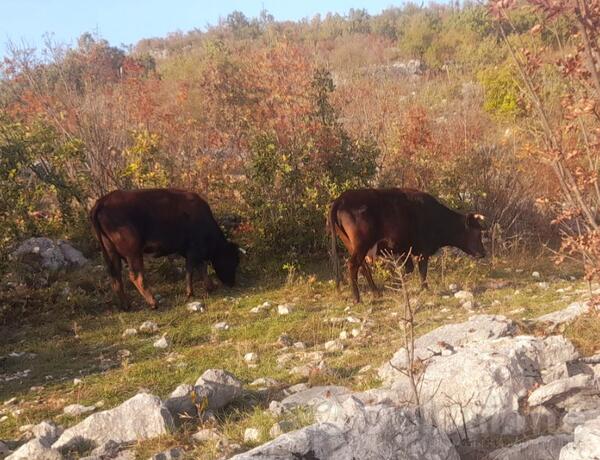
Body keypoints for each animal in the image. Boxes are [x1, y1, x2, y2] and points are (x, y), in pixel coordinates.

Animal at [90, 189, 240, 310]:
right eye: (231, 260)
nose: (232, 283)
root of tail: (102, 202)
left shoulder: (188, 251)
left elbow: (200, 267)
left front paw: (210, 287)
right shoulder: (193, 250)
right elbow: (192, 269)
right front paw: (190, 292)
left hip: (112, 254)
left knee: (115, 277)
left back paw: (126, 305)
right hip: (133, 253)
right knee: (136, 276)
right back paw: (153, 303)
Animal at [328, 187, 488, 302]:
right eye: (477, 233)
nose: (483, 253)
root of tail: (341, 199)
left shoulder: (404, 249)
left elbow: (408, 269)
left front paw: (396, 284)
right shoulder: (423, 250)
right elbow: (422, 271)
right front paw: (424, 289)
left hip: (352, 244)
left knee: (363, 266)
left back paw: (376, 292)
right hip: (362, 244)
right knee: (353, 265)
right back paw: (357, 298)